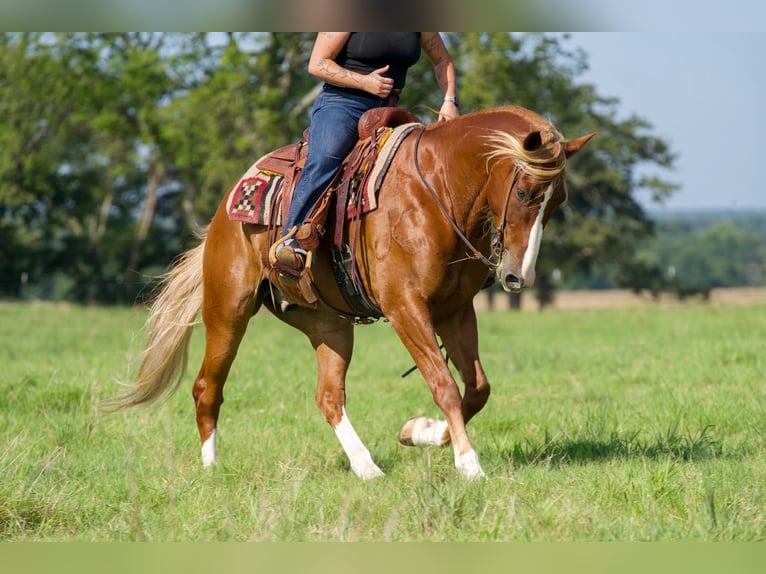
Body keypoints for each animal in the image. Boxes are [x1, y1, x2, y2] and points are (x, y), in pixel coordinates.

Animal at [110, 105, 594, 480]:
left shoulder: (454, 310)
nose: (518, 278)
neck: (436, 191)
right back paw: (212, 468)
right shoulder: (405, 308)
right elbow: (444, 384)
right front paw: (470, 465)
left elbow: (476, 388)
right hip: (229, 310)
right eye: (527, 192)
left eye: (558, 202)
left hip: (330, 326)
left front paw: (417, 431)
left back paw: (367, 468)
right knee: (207, 386)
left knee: (329, 397)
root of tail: (225, 210)